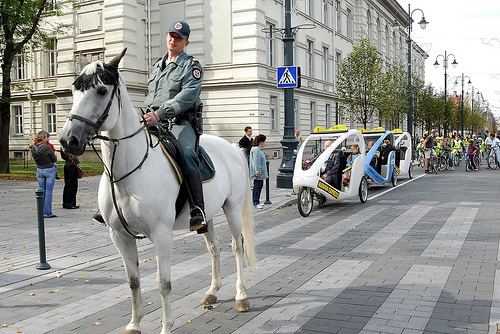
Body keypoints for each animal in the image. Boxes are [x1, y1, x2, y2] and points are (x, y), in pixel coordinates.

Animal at [57, 49, 258, 334]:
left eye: (101, 90)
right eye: (74, 89)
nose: (68, 140)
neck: (127, 173)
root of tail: (232, 147)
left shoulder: (161, 235)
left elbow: (163, 284)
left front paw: (166, 326)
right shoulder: (119, 236)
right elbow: (133, 281)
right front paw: (134, 323)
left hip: (231, 209)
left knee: (237, 247)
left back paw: (241, 296)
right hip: (206, 216)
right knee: (215, 248)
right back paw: (212, 291)